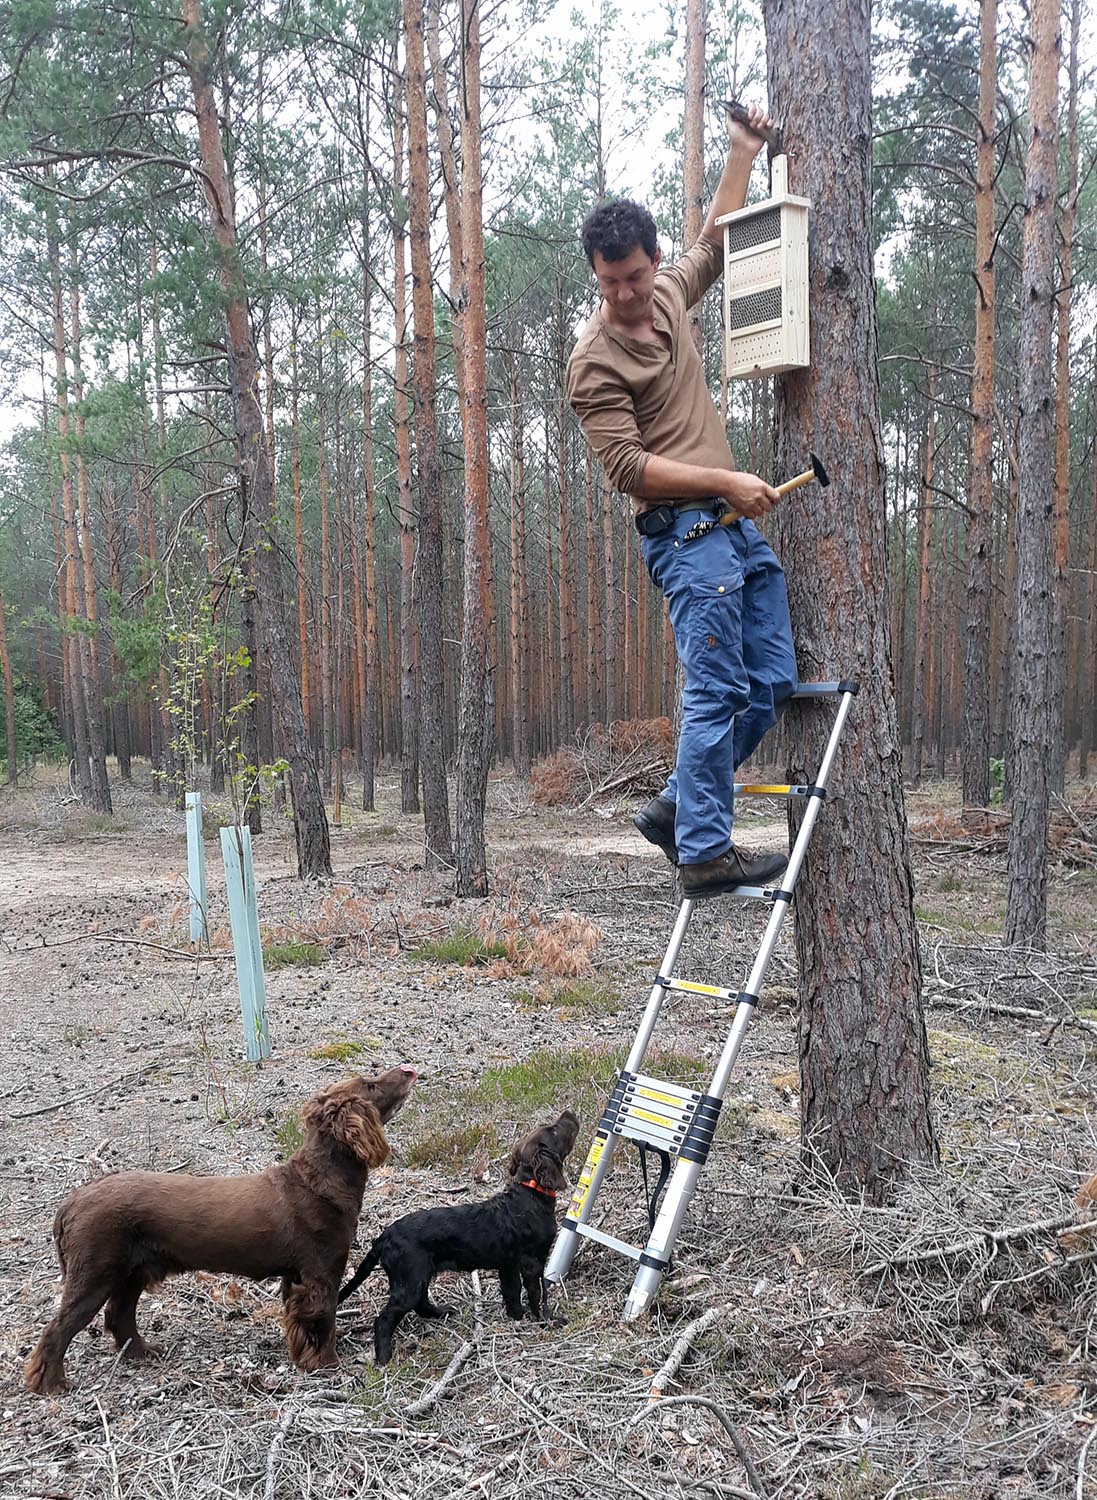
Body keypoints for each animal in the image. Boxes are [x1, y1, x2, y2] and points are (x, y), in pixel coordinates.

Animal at [22, 1068, 417, 1392]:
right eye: (371, 1084)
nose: (409, 1070)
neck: (318, 1181)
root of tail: (73, 1200)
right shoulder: (321, 1273)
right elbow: (324, 1320)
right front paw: (328, 1364)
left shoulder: (294, 1278)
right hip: (95, 1272)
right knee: (57, 1329)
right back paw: (53, 1384)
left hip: (131, 1271)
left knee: (118, 1315)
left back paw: (144, 1352)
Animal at [340, 1110, 582, 1368]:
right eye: (554, 1130)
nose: (569, 1113)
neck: (530, 1194)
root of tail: (385, 1235)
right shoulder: (532, 1261)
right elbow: (538, 1293)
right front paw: (547, 1320)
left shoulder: (508, 1264)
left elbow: (512, 1292)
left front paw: (517, 1316)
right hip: (409, 1282)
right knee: (384, 1320)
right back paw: (384, 1357)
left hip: (418, 1276)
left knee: (421, 1304)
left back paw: (442, 1312)